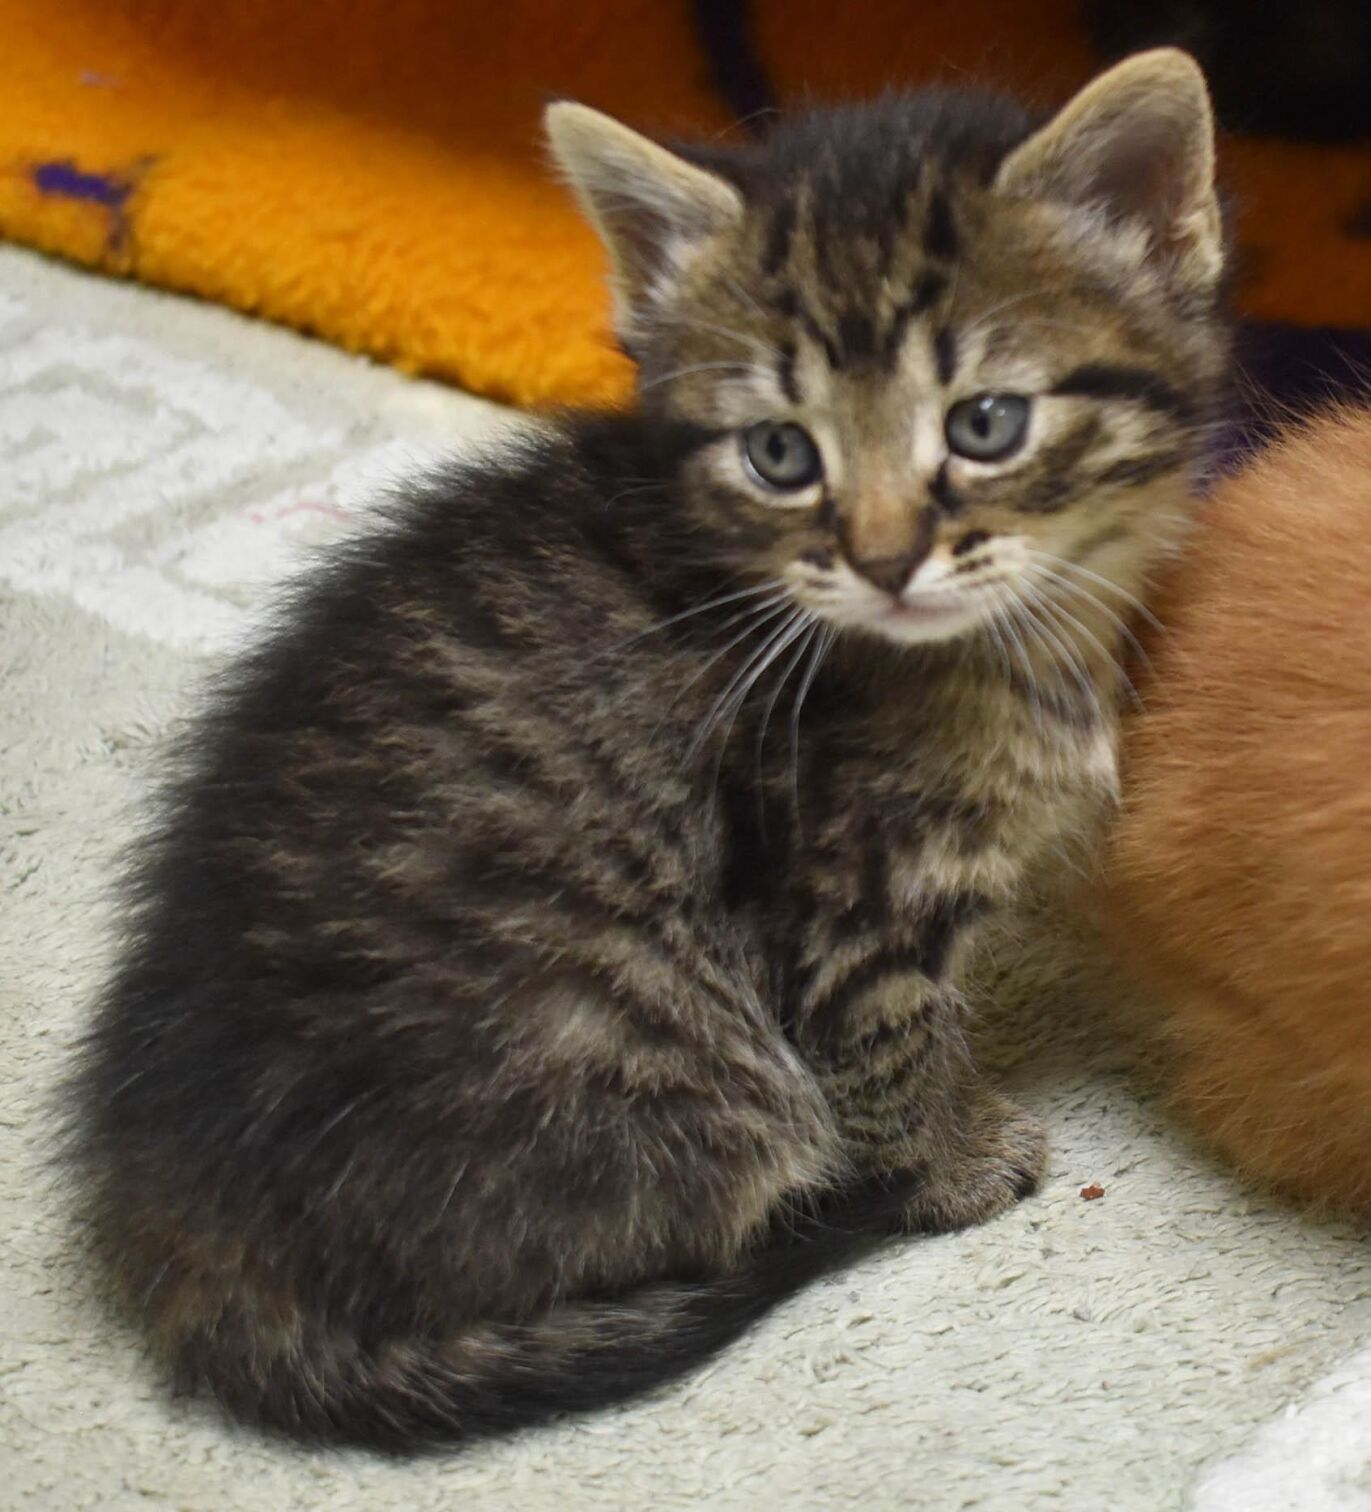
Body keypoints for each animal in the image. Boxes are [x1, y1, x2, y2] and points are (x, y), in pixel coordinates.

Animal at [69, 50, 1233, 1451]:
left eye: (988, 425)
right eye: (781, 452)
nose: (884, 561)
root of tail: (185, 1244)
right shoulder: (851, 893)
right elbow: (884, 1040)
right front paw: (955, 1164)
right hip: (674, 1062)